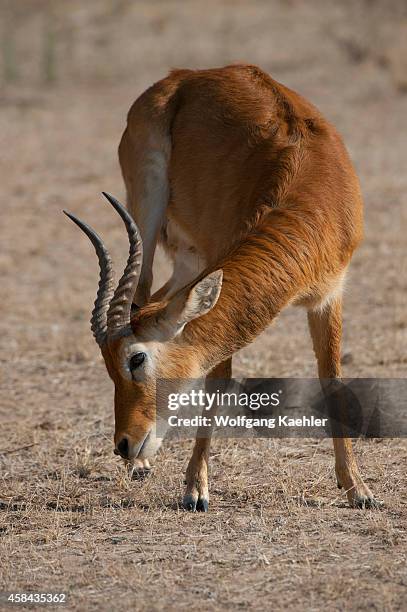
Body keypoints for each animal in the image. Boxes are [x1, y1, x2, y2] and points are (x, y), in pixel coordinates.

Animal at [65, 63, 378, 512]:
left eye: (136, 358)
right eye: (111, 366)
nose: (124, 444)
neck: (309, 194)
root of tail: (184, 76)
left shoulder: (330, 295)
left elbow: (332, 379)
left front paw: (357, 487)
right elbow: (217, 379)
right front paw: (195, 489)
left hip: (189, 261)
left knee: (155, 298)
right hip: (148, 212)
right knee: (143, 291)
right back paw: (142, 467)